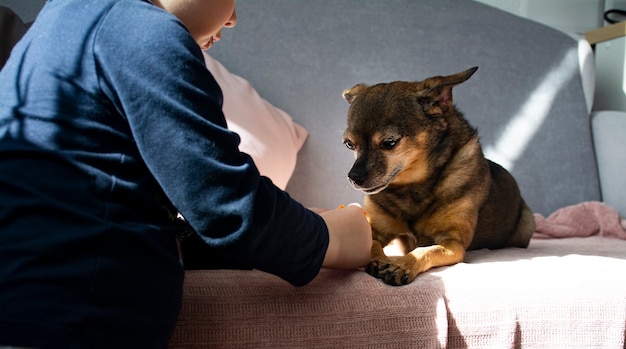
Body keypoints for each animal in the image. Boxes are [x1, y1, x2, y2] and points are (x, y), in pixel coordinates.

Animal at [342, 66, 532, 284]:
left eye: (389, 143)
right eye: (349, 144)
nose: (354, 176)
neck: (412, 187)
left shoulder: (452, 243)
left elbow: (423, 251)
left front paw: (400, 265)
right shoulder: (375, 230)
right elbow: (372, 244)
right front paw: (379, 259)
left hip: (527, 224)